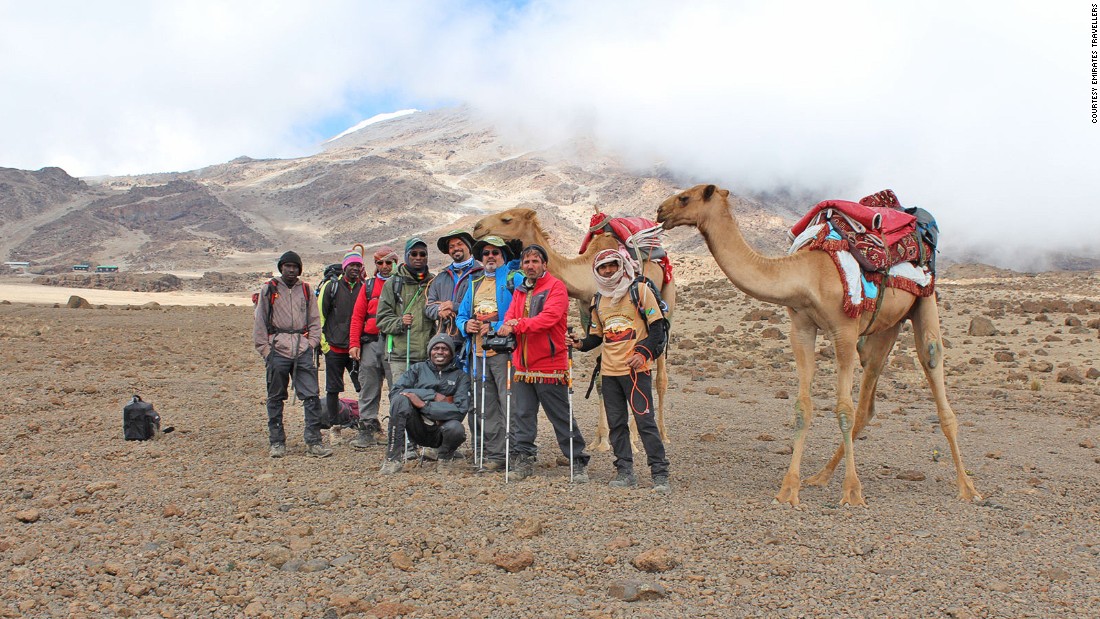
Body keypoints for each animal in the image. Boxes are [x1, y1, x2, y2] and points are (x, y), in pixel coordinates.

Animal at [475, 207, 677, 450]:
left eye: (507, 219)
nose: (477, 228)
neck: (587, 278)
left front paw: (617, 440)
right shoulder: (587, 316)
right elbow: (601, 380)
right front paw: (601, 440)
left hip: (667, 298)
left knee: (660, 375)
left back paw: (660, 435)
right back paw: (636, 433)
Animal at [655, 181, 985, 505]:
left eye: (685, 198)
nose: (660, 211)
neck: (807, 275)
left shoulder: (845, 329)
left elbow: (843, 409)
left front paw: (852, 493)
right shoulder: (801, 327)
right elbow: (804, 407)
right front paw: (789, 489)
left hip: (925, 298)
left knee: (932, 363)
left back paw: (968, 488)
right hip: (886, 326)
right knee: (868, 399)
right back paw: (821, 476)